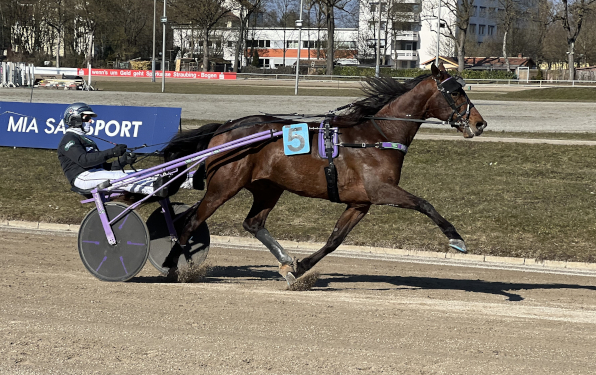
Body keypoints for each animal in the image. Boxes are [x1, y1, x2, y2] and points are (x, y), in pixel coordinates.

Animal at [162, 63, 484, 284]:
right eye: (456, 91)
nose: (480, 123)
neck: (377, 135)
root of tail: (225, 126)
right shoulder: (381, 190)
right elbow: (425, 204)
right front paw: (456, 239)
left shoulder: (359, 202)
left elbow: (334, 240)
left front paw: (299, 268)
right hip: (224, 186)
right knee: (191, 221)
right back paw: (172, 265)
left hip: (268, 187)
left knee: (253, 223)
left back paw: (283, 259)